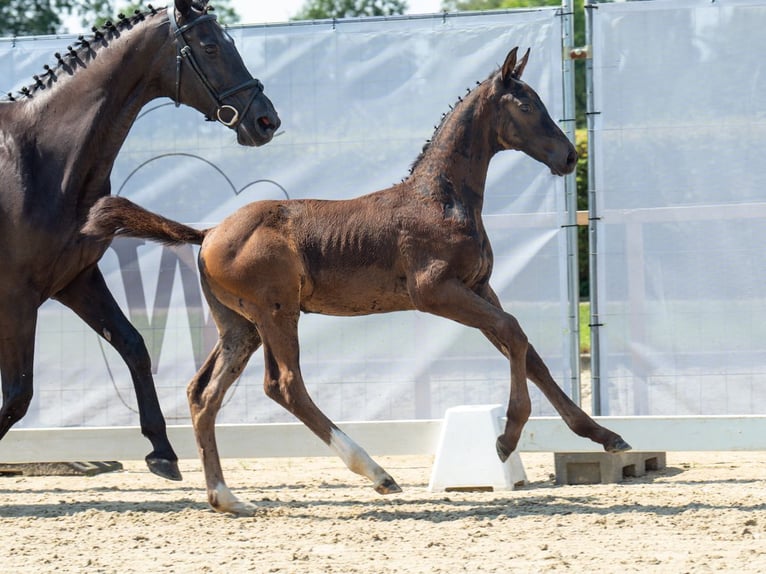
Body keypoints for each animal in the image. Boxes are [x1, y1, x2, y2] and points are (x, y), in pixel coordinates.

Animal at [0, 0, 282, 484]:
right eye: (210, 45)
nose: (266, 120)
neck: (43, 160)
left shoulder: (75, 280)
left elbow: (133, 345)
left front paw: (162, 452)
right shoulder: (16, 295)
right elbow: (18, 394)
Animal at [84, 46, 632, 516]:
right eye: (526, 104)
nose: (568, 157)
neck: (442, 199)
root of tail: (208, 233)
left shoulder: (478, 288)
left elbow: (528, 351)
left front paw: (605, 437)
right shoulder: (436, 292)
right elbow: (515, 333)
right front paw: (505, 438)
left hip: (240, 327)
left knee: (204, 394)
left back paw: (227, 498)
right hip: (276, 312)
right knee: (284, 386)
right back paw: (376, 472)